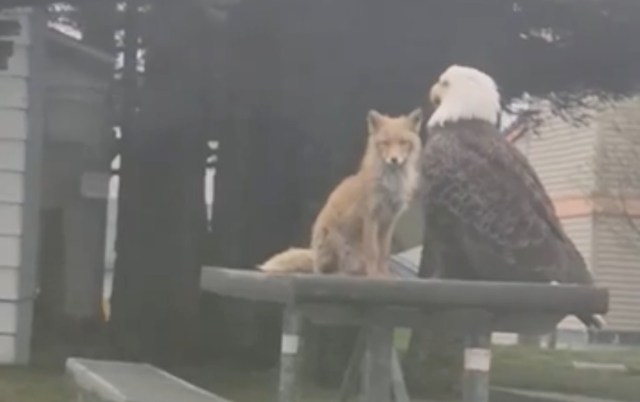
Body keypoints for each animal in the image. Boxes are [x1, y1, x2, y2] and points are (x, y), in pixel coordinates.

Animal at [258, 108, 423, 277]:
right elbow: (373, 251)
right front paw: (373, 275)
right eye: (385, 143)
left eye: (403, 142)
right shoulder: (370, 216)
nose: (394, 159)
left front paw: (384, 275)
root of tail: (315, 256)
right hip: (332, 240)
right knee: (324, 271)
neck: (391, 185)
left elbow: (384, 253)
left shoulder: (389, 220)